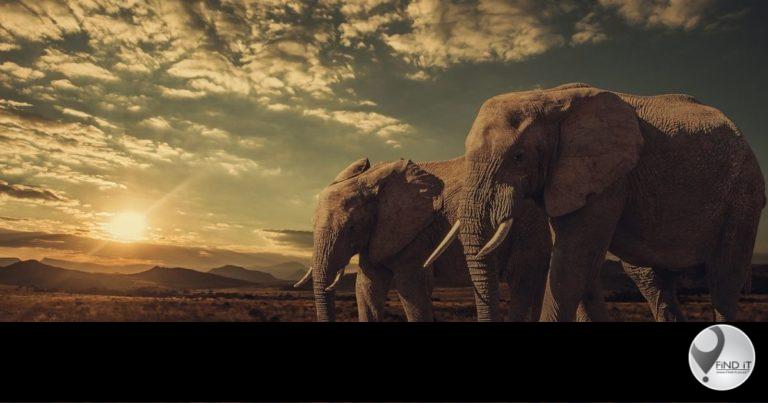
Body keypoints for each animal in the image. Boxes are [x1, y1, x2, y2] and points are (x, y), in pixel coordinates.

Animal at [294, 156, 552, 321]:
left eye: (351, 227)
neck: (372, 179)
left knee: (521, 281)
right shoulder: (378, 234)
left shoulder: (417, 232)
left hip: (528, 226)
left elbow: (412, 287)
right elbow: (367, 289)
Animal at [428, 82, 766, 322]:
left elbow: (571, 265)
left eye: (518, 157)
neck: (549, 98)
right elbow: (582, 269)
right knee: (653, 280)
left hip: (743, 195)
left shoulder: (608, 179)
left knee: (724, 280)